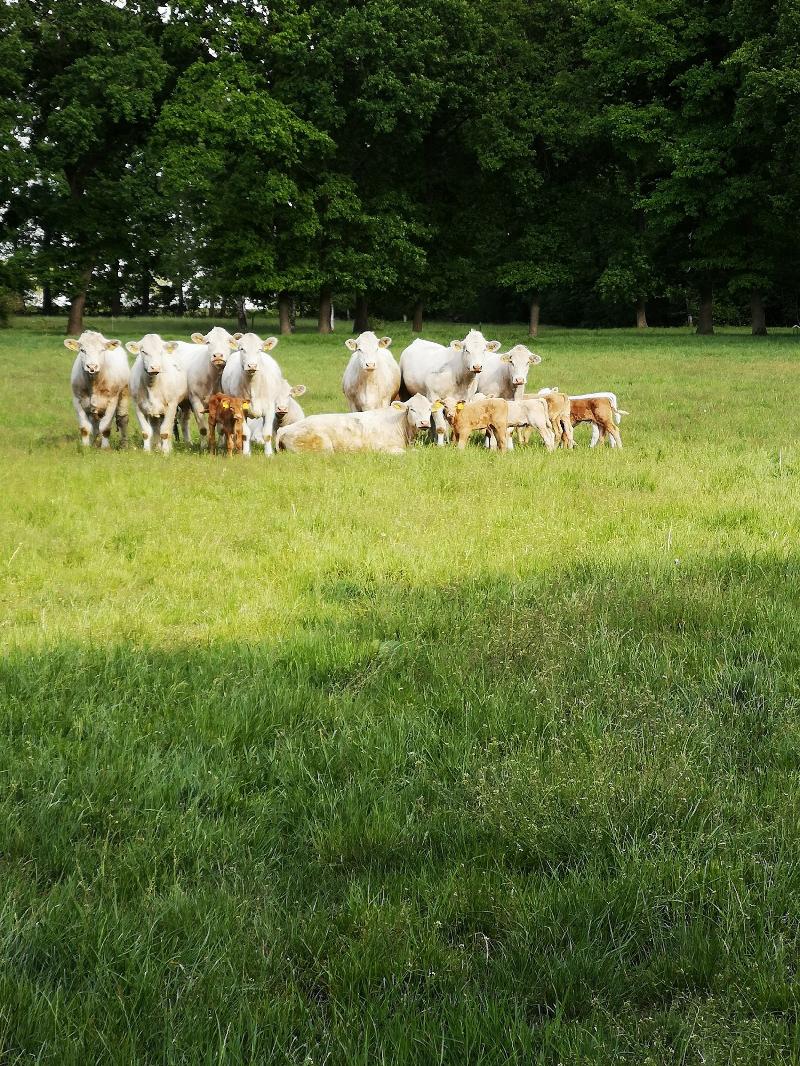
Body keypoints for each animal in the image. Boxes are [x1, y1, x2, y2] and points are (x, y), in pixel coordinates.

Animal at [275, 396, 439, 454]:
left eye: (429, 409)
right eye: (412, 409)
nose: (424, 423)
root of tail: (284, 429)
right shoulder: (383, 448)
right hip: (323, 447)